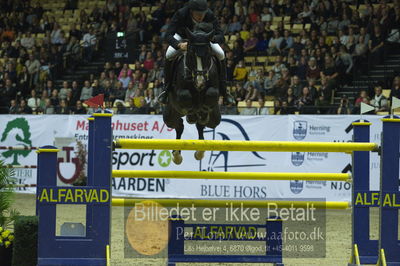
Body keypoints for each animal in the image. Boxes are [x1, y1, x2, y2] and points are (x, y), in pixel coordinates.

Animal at [164, 24, 223, 164]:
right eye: (191, 55)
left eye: (208, 54)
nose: (200, 82)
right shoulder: (180, 93)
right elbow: (185, 96)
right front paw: (191, 115)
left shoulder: (213, 91)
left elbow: (211, 94)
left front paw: (202, 113)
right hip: (169, 115)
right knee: (178, 125)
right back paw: (176, 156)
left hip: (215, 118)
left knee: (201, 125)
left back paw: (199, 152)